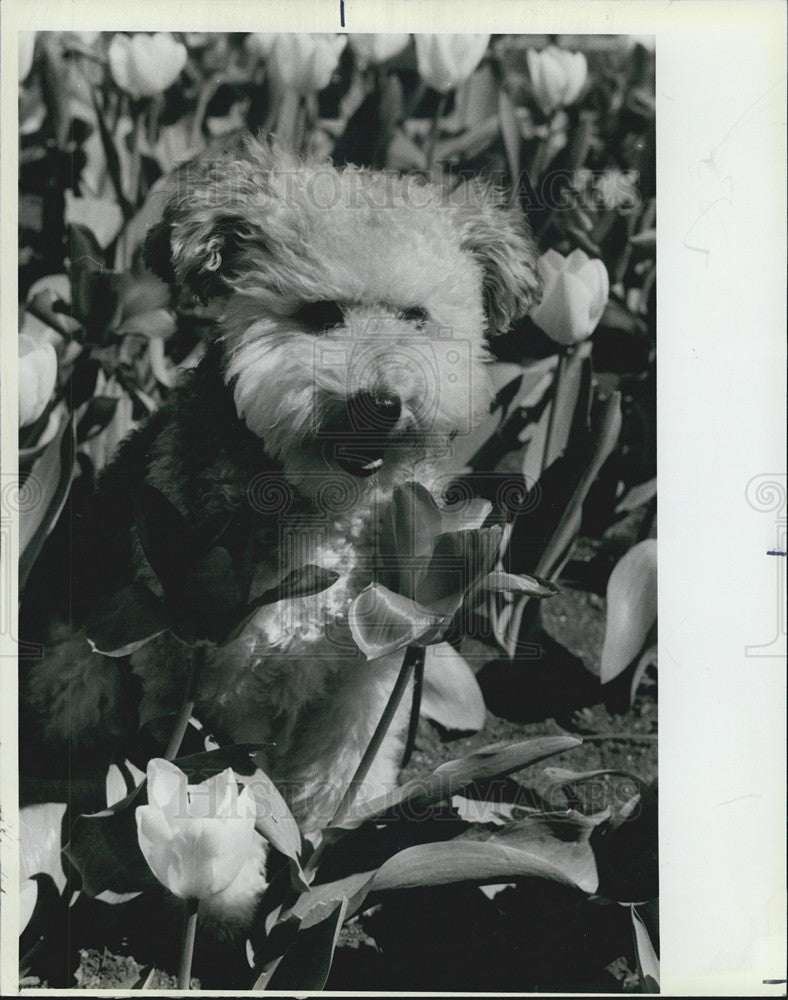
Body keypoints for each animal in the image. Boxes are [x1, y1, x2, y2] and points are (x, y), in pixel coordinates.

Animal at [24, 135, 540, 928]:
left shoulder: (371, 666)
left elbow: (343, 772)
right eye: (320, 313)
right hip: (81, 665)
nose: (380, 402)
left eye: (416, 315)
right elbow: (215, 783)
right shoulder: (210, 678)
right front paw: (233, 893)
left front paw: (326, 862)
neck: (322, 505)